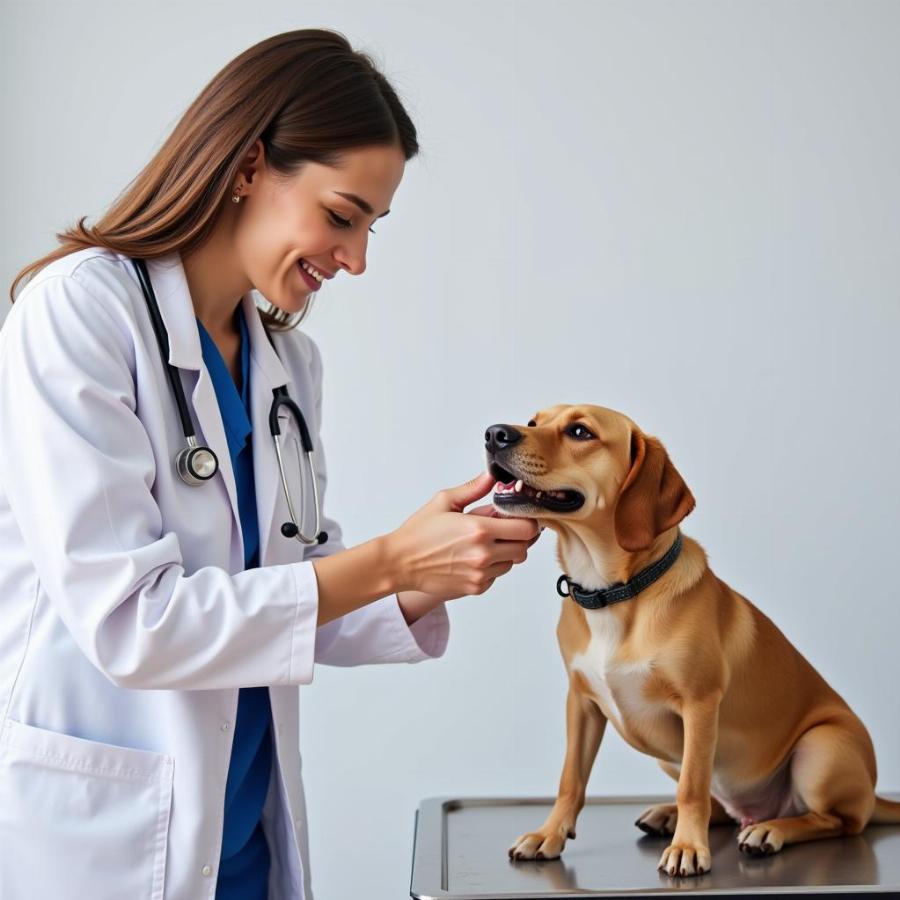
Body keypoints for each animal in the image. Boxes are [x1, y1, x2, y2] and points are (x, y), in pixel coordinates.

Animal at [486, 406, 900, 880]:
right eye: (533, 421)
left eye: (579, 431)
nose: (494, 434)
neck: (615, 593)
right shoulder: (582, 703)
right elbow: (571, 779)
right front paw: (548, 835)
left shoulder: (700, 706)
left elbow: (693, 787)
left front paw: (688, 848)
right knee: (726, 808)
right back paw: (670, 816)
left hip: (821, 749)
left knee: (838, 821)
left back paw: (770, 830)